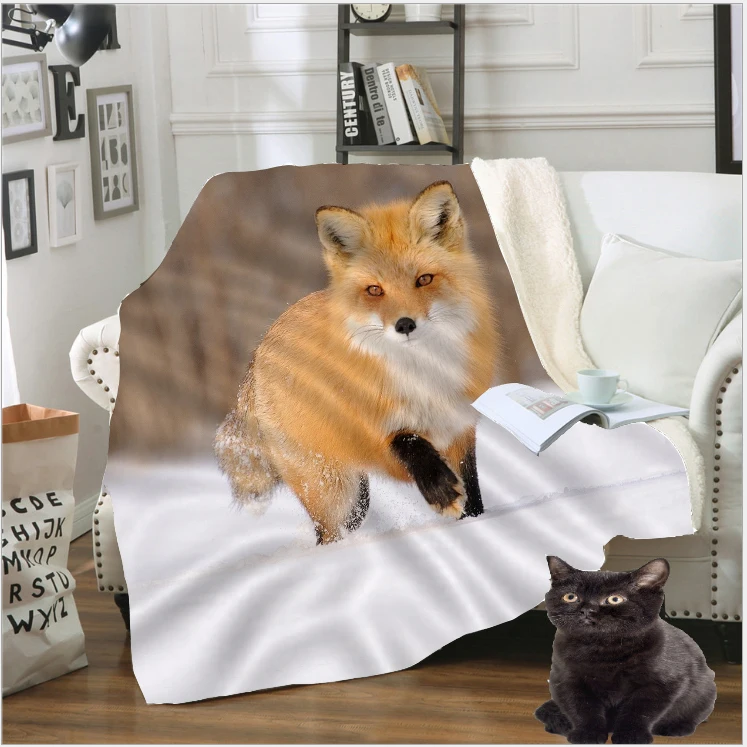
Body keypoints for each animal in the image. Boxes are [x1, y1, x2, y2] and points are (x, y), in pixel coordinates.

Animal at [214, 180, 499, 544]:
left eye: (424, 279)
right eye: (375, 290)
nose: (405, 324)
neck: (421, 375)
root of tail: (259, 352)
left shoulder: (459, 425)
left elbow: (473, 488)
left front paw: (476, 522)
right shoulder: (377, 434)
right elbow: (410, 444)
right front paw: (442, 493)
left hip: (354, 499)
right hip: (336, 492)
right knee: (328, 534)